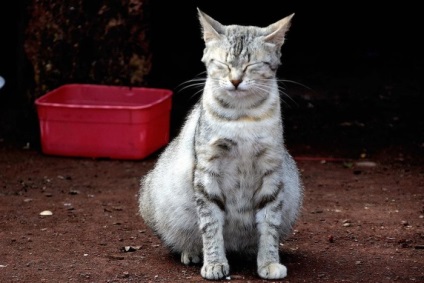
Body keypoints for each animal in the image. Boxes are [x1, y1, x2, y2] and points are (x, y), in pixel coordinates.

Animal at [138, 7, 302, 280]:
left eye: (251, 65)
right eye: (224, 64)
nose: (235, 81)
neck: (243, 115)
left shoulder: (271, 170)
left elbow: (269, 224)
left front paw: (268, 262)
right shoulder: (207, 170)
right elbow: (211, 223)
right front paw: (214, 263)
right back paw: (192, 252)